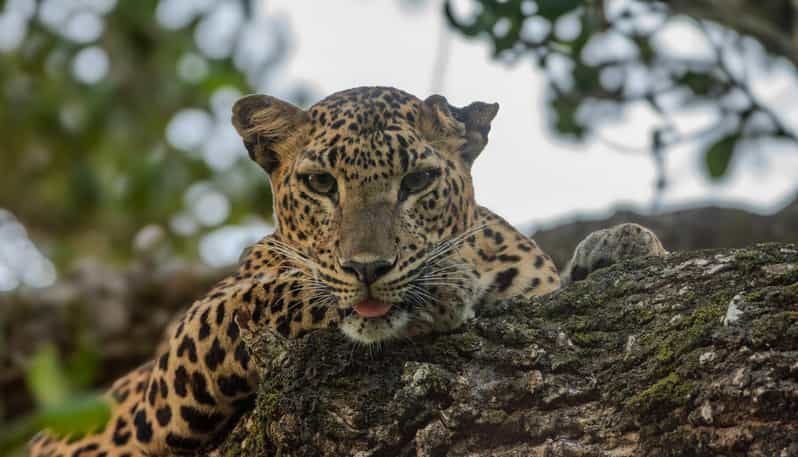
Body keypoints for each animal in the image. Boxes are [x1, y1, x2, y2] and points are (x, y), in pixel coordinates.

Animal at [28, 86, 664, 456]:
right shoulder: (184, 350)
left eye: (417, 181)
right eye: (319, 184)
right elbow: (279, 291)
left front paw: (625, 243)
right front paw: (436, 293)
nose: (369, 267)